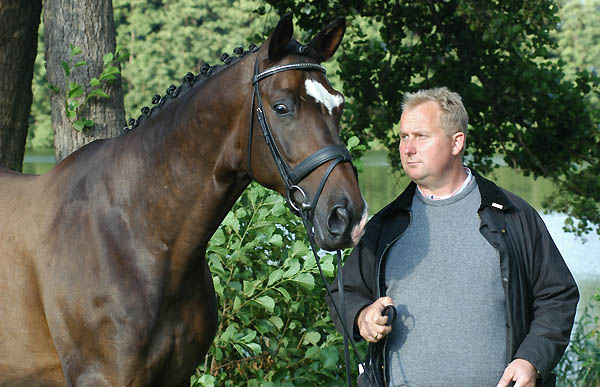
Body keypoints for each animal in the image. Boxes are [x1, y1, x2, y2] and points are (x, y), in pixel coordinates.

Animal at [0, 13, 366, 387]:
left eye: (339, 105)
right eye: (281, 108)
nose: (347, 216)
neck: (135, 234)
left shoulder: (177, 376)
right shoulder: (102, 377)